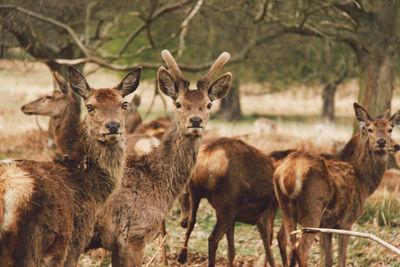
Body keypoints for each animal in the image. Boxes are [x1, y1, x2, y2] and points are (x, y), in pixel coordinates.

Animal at [178, 138, 278, 267]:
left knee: (192, 222)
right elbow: (270, 250)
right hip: (226, 206)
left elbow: (231, 251)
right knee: (212, 239)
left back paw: (181, 255)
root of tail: (205, 165)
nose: (182, 222)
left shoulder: (235, 218)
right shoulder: (264, 213)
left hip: (198, 194)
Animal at [274, 103, 400, 267]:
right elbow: (341, 259)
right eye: (370, 129)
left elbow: (328, 260)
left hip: (286, 209)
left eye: (390, 129)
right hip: (313, 208)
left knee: (288, 243)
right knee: (301, 249)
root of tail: (287, 173)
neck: (363, 179)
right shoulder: (347, 220)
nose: (383, 142)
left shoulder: (326, 225)